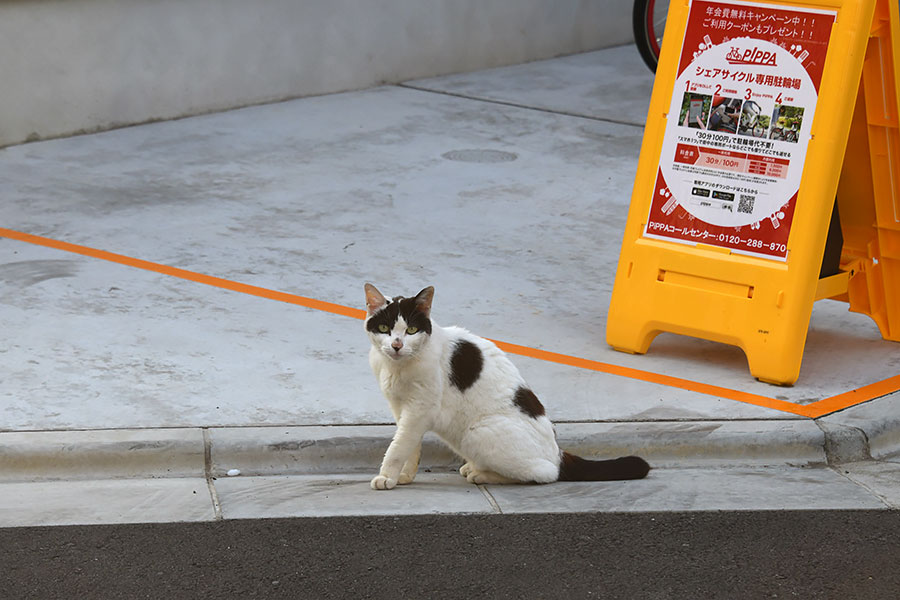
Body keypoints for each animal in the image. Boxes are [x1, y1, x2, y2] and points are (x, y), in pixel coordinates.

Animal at [362, 284, 652, 490]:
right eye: (385, 328)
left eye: (411, 330)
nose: (397, 345)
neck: (396, 368)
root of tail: (558, 453)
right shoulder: (403, 410)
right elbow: (410, 447)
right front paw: (404, 476)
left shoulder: (420, 410)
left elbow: (398, 447)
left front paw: (387, 477)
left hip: (476, 432)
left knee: (544, 474)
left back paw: (481, 474)